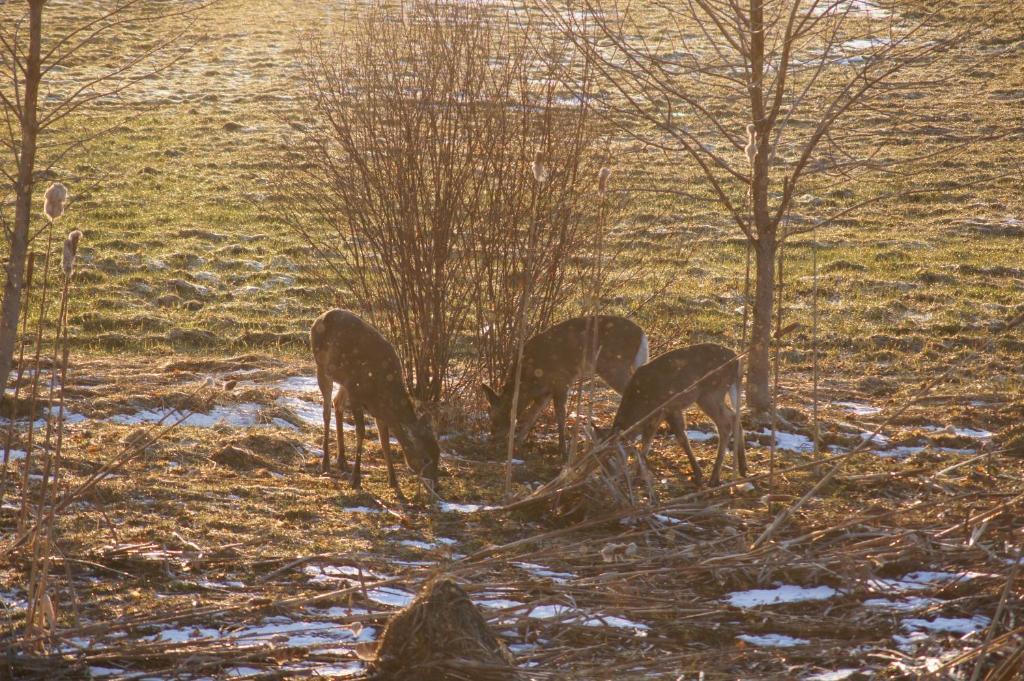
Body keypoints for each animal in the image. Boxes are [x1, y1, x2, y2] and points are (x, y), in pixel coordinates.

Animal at [311, 309, 440, 499]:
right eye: (425, 458)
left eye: (438, 454)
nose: (437, 487)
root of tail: (320, 317)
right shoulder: (356, 393)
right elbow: (361, 432)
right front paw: (355, 479)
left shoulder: (379, 410)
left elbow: (384, 442)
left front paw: (393, 482)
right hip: (322, 366)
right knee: (326, 411)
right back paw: (326, 462)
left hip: (343, 380)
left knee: (337, 403)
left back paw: (342, 460)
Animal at [479, 315, 647, 456]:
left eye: (495, 416)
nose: (492, 439)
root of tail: (642, 334)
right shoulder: (545, 392)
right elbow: (532, 415)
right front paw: (516, 444)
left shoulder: (561, 380)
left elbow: (560, 413)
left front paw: (563, 449)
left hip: (613, 365)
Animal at [602, 342, 749, 485]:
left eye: (611, 457)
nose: (606, 479)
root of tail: (736, 358)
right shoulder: (672, 410)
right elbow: (681, 438)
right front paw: (697, 473)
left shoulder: (662, 410)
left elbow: (647, 443)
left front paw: (638, 477)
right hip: (715, 394)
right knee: (734, 416)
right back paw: (742, 468)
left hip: (711, 392)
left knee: (725, 424)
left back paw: (714, 478)